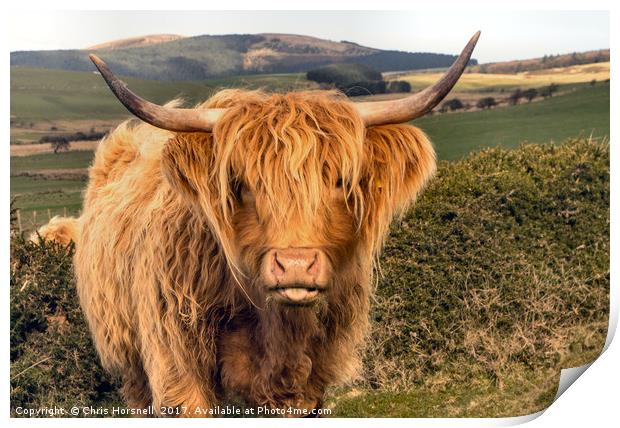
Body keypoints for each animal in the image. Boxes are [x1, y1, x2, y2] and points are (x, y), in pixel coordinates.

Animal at [49, 31, 480, 416]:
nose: (295, 266)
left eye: (339, 181)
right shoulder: (178, 367)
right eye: (242, 184)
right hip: (129, 358)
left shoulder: (310, 378)